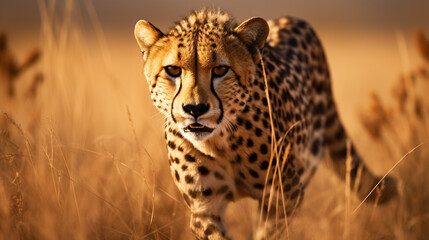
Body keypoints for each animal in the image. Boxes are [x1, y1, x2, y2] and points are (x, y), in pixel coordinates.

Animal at [133, 9, 394, 240]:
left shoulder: (285, 195)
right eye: (173, 70)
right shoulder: (204, 207)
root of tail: (292, 18)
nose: (195, 109)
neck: (221, 143)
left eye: (220, 69)